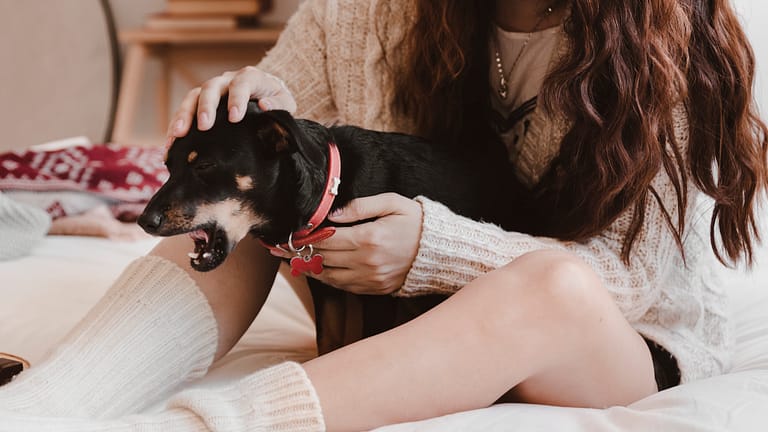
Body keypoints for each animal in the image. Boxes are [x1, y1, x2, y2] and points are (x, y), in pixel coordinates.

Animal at [139, 101, 516, 354]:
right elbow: (329, 341)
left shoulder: (378, 293)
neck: (330, 192)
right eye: (167, 166)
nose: (145, 221)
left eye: (204, 165)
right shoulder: (325, 288)